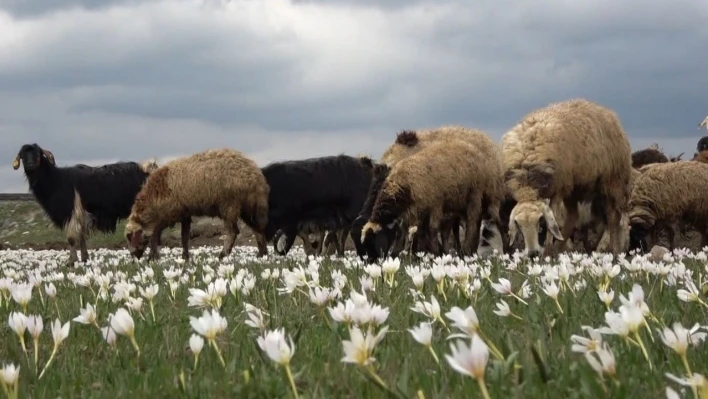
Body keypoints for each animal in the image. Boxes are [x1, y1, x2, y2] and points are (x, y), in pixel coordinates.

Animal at [12, 143, 158, 266]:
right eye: (23, 155)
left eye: (37, 153)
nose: (30, 164)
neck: (56, 180)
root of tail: (149, 170)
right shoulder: (81, 215)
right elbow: (81, 237)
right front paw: (84, 259)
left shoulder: (71, 213)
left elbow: (71, 238)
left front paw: (71, 262)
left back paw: (150, 258)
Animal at [124, 148, 268, 260]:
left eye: (130, 237)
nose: (134, 257)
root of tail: (254, 174)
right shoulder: (184, 214)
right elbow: (184, 237)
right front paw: (185, 257)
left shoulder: (168, 214)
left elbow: (156, 235)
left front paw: (152, 257)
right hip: (248, 207)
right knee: (258, 228)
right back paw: (262, 254)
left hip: (230, 205)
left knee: (233, 232)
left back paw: (223, 255)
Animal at [500, 98, 632, 258]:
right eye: (518, 225)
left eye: (540, 221)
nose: (532, 254)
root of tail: (606, 111)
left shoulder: (558, 189)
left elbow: (554, 220)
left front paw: (547, 252)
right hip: (574, 187)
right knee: (573, 216)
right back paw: (560, 247)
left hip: (612, 182)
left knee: (613, 218)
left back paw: (615, 252)